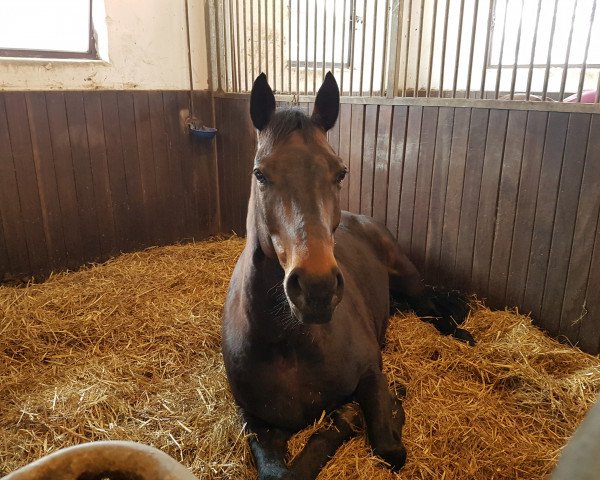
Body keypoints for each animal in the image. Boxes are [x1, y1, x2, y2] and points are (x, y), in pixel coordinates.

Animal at [220, 72, 474, 480]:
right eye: (260, 173)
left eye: (339, 172)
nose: (317, 288)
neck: (287, 347)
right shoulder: (256, 421)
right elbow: (280, 473)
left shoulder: (371, 370)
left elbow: (388, 447)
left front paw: (382, 409)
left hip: (408, 278)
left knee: (430, 307)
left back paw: (461, 334)